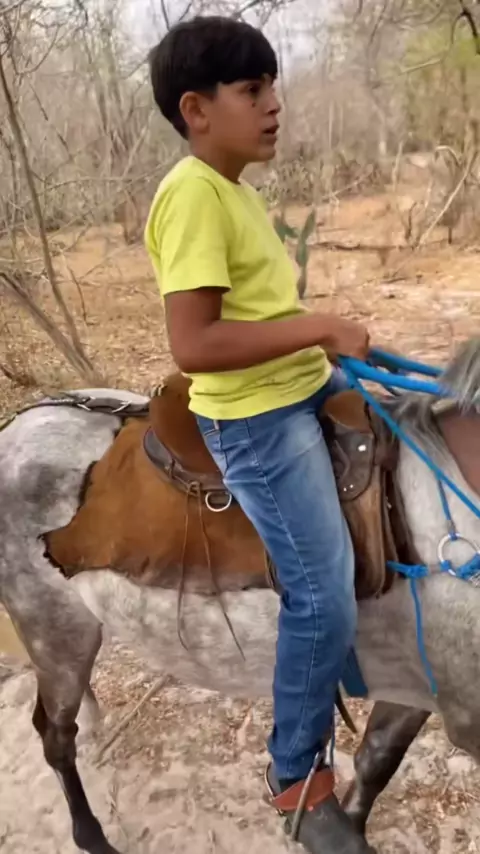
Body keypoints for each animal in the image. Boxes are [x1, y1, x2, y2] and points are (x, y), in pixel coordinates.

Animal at [0, 337, 479, 854]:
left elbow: (376, 760)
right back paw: (92, 836)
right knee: (55, 734)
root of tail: (23, 420)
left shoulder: (426, 688)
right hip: (55, 629)